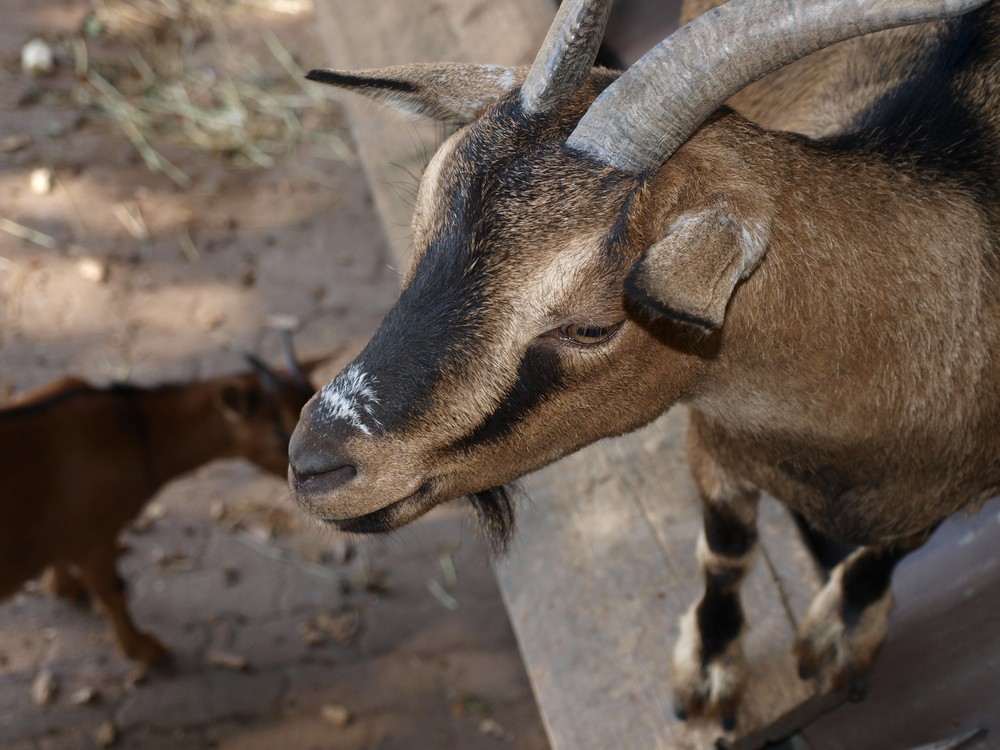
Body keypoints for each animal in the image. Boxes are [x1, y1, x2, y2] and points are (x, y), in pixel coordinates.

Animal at [1, 340, 314, 668]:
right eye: (278, 433)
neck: (137, 429)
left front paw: (65, 587)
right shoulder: (97, 537)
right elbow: (114, 592)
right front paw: (143, 649)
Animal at [288, 0, 1000, 736]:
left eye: (592, 326)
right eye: (421, 230)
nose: (314, 463)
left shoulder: (958, 487)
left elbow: (894, 549)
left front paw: (841, 633)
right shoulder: (714, 440)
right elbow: (726, 548)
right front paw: (708, 670)